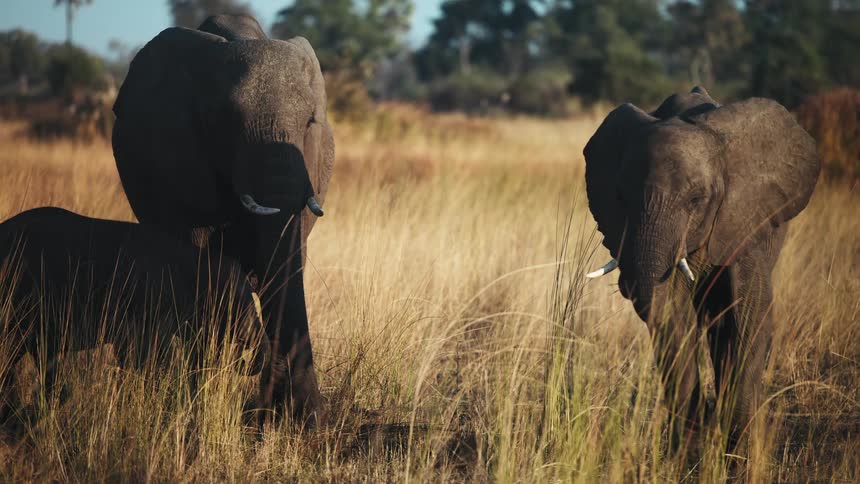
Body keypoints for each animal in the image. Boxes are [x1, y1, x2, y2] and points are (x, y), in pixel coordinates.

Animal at [583, 87, 820, 447]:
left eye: (696, 199)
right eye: (622, 198)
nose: (625, 285)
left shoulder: (742, 218)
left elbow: (751, 312)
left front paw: (736, 443)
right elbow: (672, 315)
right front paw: (693, 437)